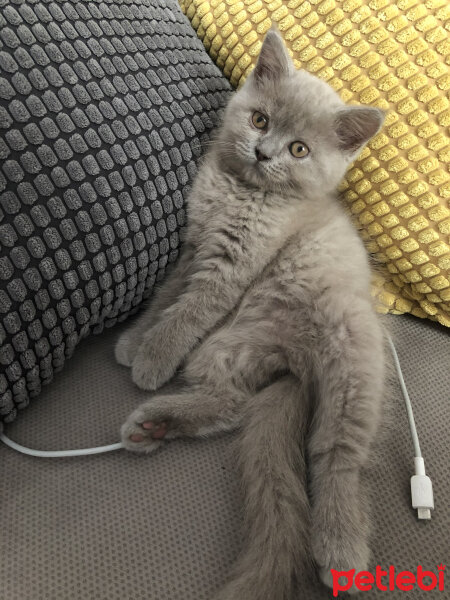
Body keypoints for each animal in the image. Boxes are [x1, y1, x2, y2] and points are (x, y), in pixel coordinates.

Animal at [116, 28, 386, 600]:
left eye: (299, 149)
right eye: (260, 120)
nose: (263, 152)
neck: (242, 192)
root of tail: (293, 366)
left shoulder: (230, 268)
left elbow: (187, 313)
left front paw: (151, 357)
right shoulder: (195, 247)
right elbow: (165, 297)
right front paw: (135, 343)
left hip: (353, 359)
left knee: (336, 457)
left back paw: (340, 544)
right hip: (228, 348)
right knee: (232, 405)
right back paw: (154, 425)